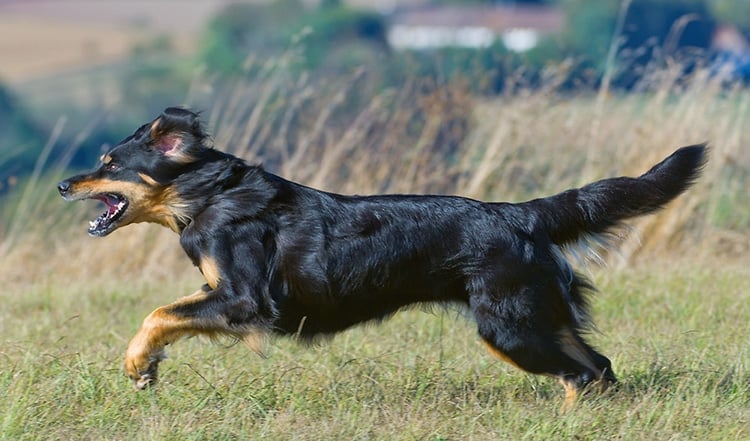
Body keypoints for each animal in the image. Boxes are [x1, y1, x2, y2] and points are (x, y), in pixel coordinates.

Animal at [58, 105, 712, 406]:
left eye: (110, 164)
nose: (64, 184)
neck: (211, 194)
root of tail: (518, 214)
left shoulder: (245, 300)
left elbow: (158, 314)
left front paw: (138, 365)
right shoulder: (219, 294)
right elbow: (165, 314)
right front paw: (148, 366)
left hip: (509, 326)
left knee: (581, 373)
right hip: (537, 314)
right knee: (598, 367)